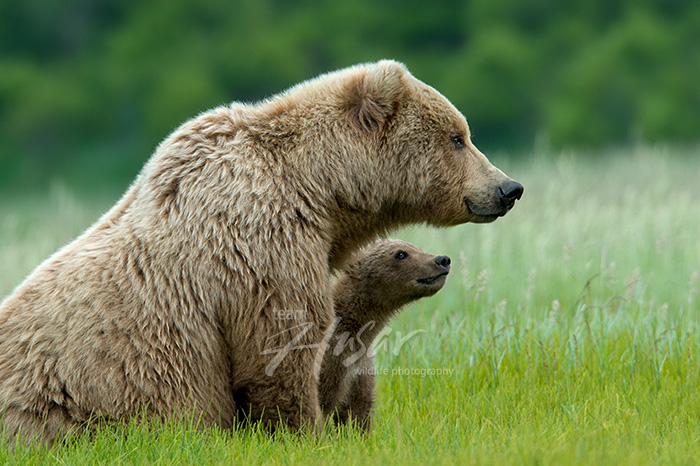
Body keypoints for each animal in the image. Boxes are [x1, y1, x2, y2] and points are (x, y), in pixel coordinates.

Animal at [319, 239, 450, 431]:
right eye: (401, 253)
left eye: (418, 248)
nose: (443, 259)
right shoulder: (330, 361)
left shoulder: (361, 368)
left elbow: (358, 411)